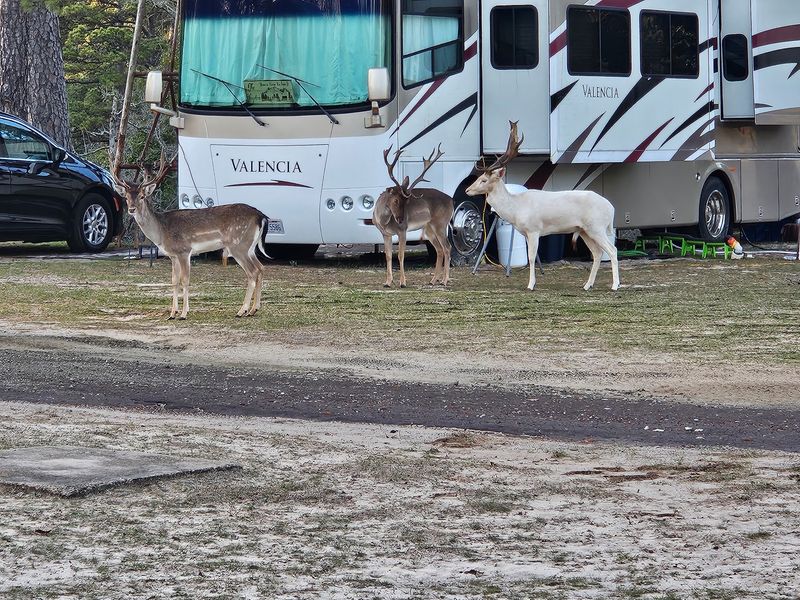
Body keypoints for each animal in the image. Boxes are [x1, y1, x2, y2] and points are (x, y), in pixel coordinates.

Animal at [112, 153, 271, 319]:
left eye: (142, 196)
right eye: (126, 197)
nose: (131, 209)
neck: (162, 232)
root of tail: (261, 216)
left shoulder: (184, 250)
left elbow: (185, 280)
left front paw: (183, 313)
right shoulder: (173, 255)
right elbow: (174, 281)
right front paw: (172, 313)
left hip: (238, 245)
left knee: (252, 272)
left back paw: (242, 310)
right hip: (250, 247)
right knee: (261, 268)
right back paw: (254, 309)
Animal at [373, 144, 454, 287]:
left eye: (406, 201)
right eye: (396, 200)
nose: (401, 219)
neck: (383, 220)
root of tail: (451, 200)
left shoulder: (402, 230)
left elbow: (400, 255)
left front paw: (402, 282)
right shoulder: (385, 234)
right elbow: (388, 256)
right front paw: (388, 282)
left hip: (441, 223)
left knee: (447, 247)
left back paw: (444, 280)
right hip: (429, 229)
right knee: (439, 249)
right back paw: (433, 280)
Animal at [466, 122, 620, 292]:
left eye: (484, 180)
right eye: (480, 177)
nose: (467, 190)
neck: (516, 209)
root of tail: (611, 208)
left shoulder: (534, 230)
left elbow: (531, 258)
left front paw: (531, 285)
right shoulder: (526, 233)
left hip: (597, 227)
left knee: (612, 250)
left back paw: (615, 285)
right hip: (585, 230)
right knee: (597, 253)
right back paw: (587, 285)